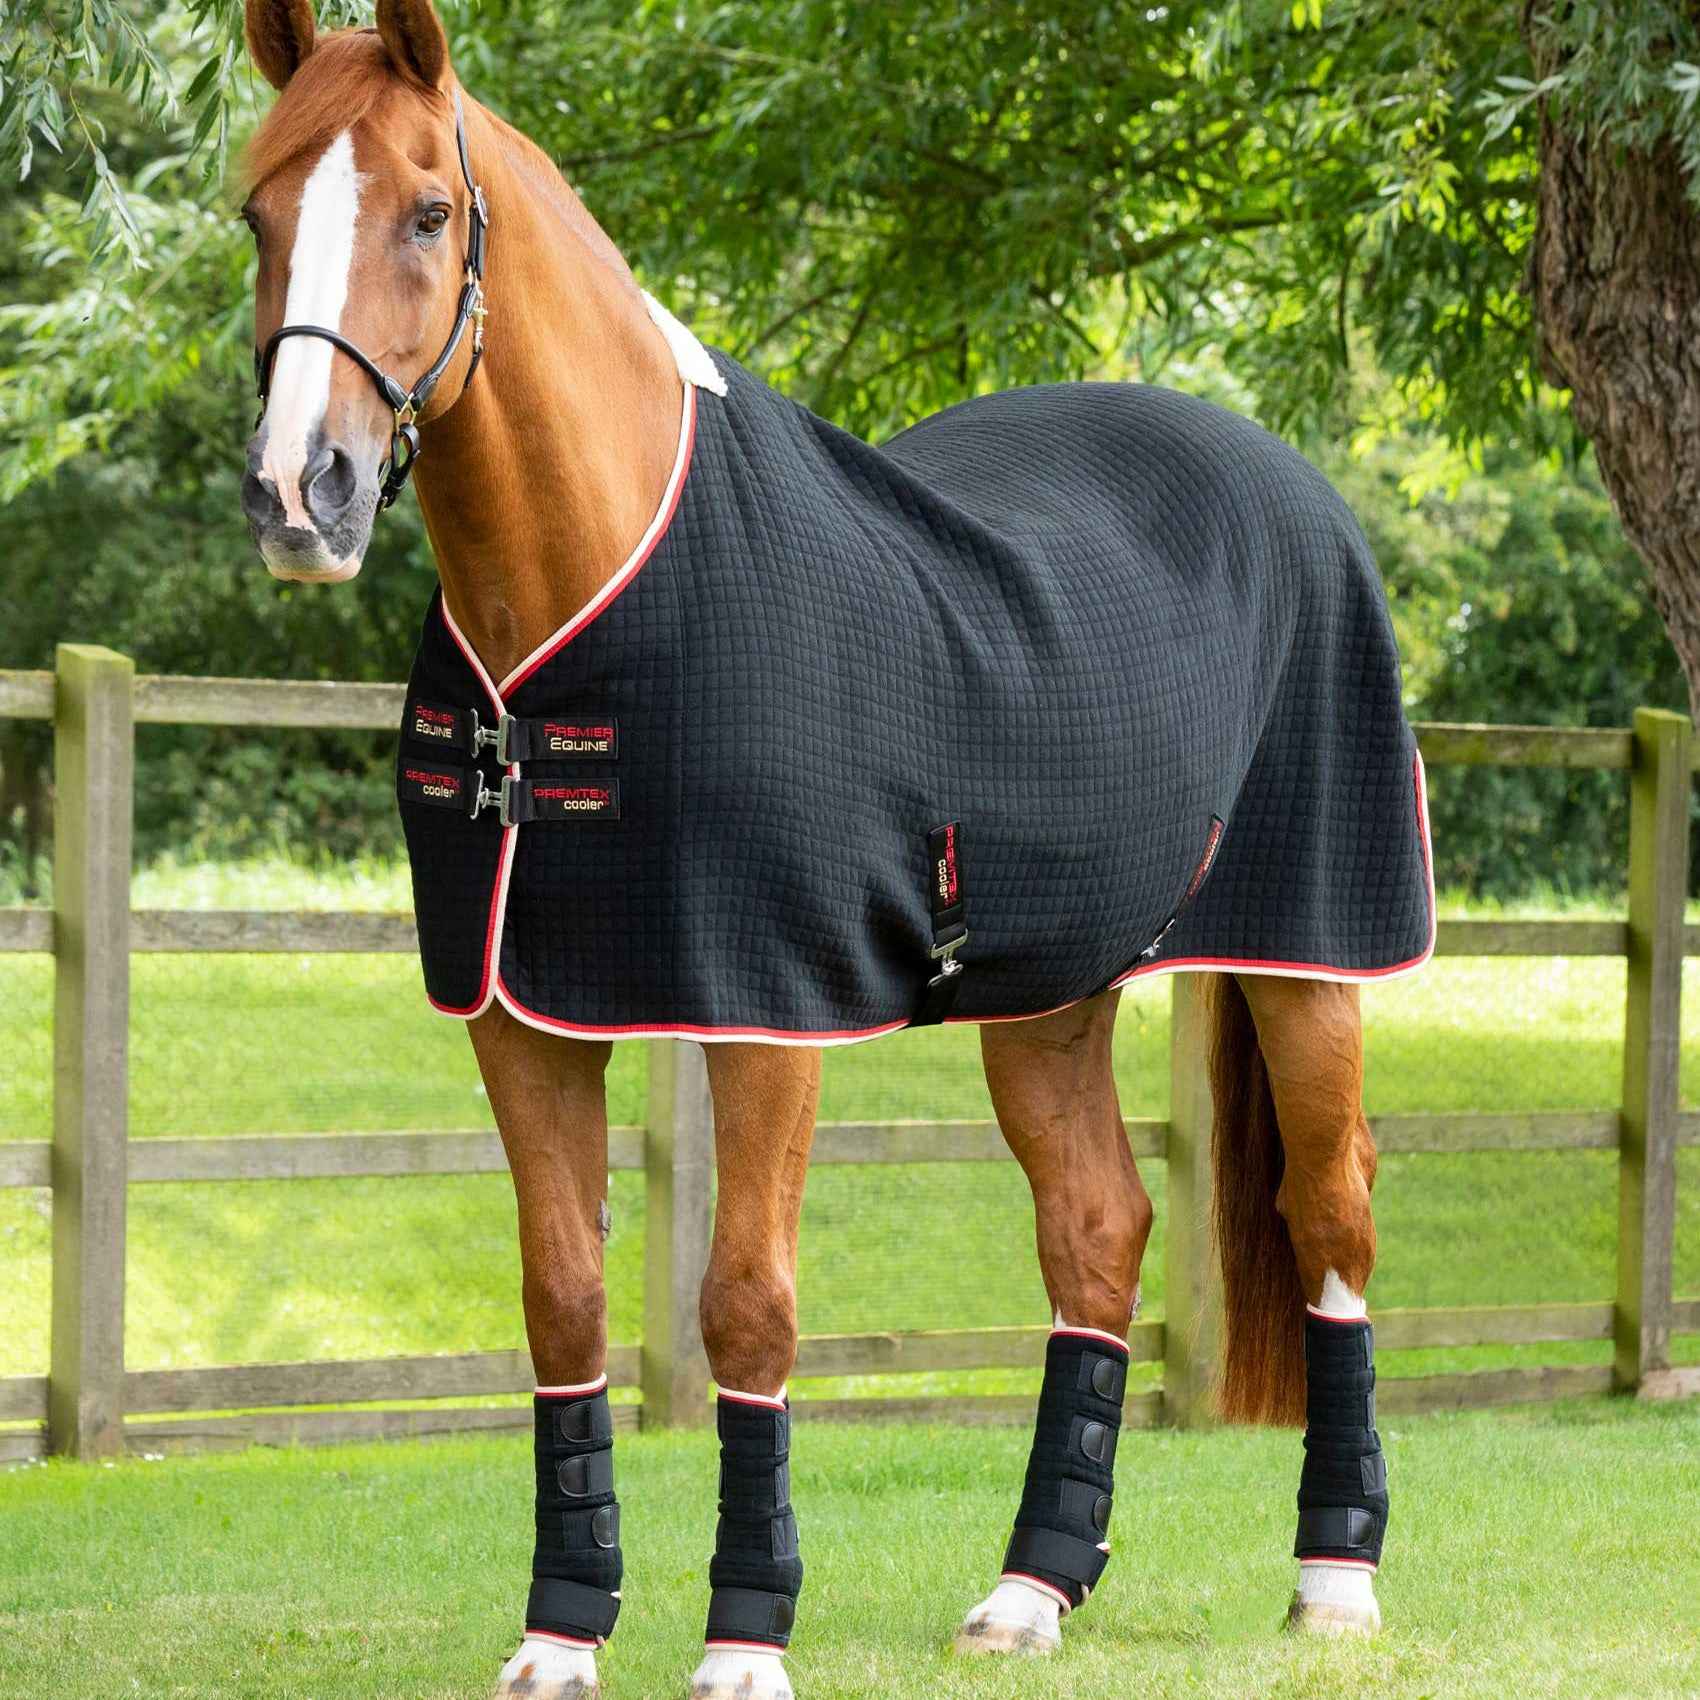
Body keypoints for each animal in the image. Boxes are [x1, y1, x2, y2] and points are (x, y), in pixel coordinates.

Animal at [236, 5, 1431, 1696]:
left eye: (425, 210)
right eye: (258, 215)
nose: (301, 493)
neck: (593, 593)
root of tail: (1285, 481)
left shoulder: (764, 1010)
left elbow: (747, 1306)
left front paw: (746, 1639)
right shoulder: (519, 1018)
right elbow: (563, 1301)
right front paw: (561, 1631)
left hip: (1310, 957)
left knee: (1333, 1218)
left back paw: (1335, 1580)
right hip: (1046, 993)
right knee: (1097, 1232)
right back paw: (1030, 1591)